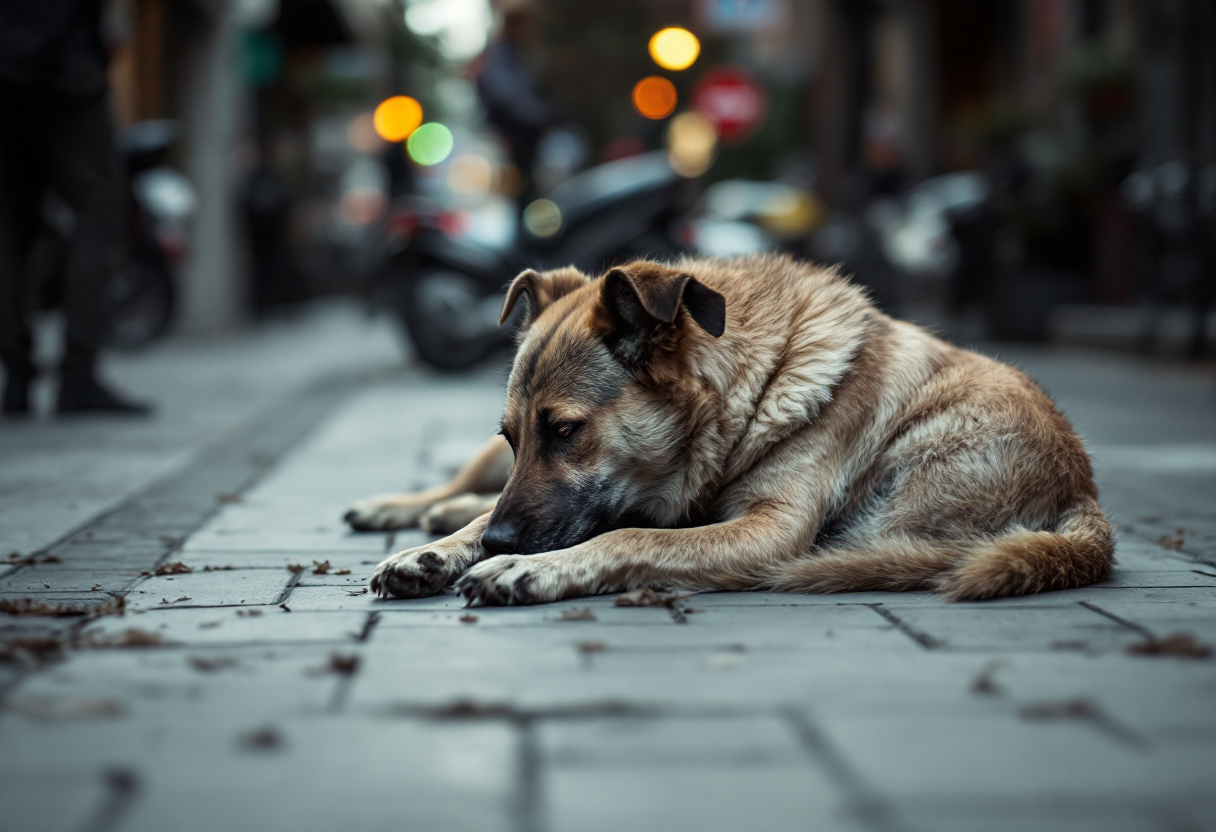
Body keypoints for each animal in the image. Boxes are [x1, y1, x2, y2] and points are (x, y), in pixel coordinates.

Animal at [350, 253, 1113, 603]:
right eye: (516, 437)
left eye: (565, 431)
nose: (506, 543)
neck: (753, 395)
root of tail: (1085, 495)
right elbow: (496, 516)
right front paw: (440, 550)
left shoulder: (767, 528)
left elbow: (629, 534)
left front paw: (525, 567)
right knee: (467, 488)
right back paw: (411, 509)